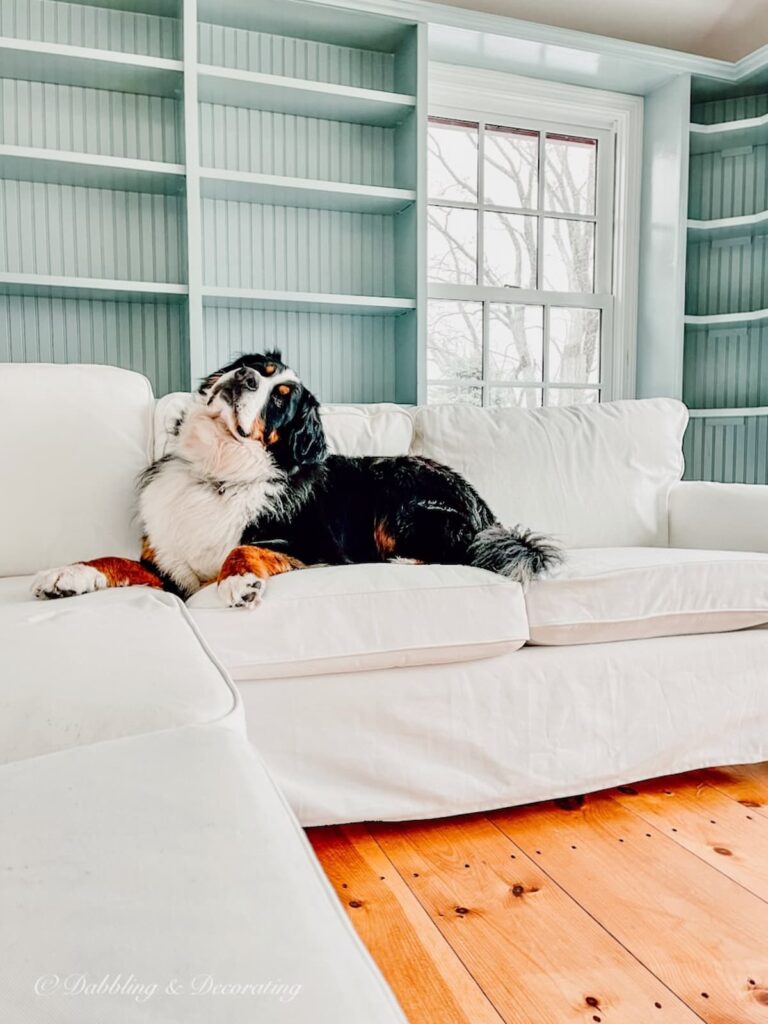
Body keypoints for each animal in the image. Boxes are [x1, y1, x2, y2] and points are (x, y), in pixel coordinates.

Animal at [33, 352, 561, 606]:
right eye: (256, 368)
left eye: (280, 398)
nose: (244, 378)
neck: (218, 473)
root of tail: (485, 511)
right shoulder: (167, 566)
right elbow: (115, 559)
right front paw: (68, 573)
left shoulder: (311, 549)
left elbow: (241, 548)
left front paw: (238, 583)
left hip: (400, 496)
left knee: (455, 553)